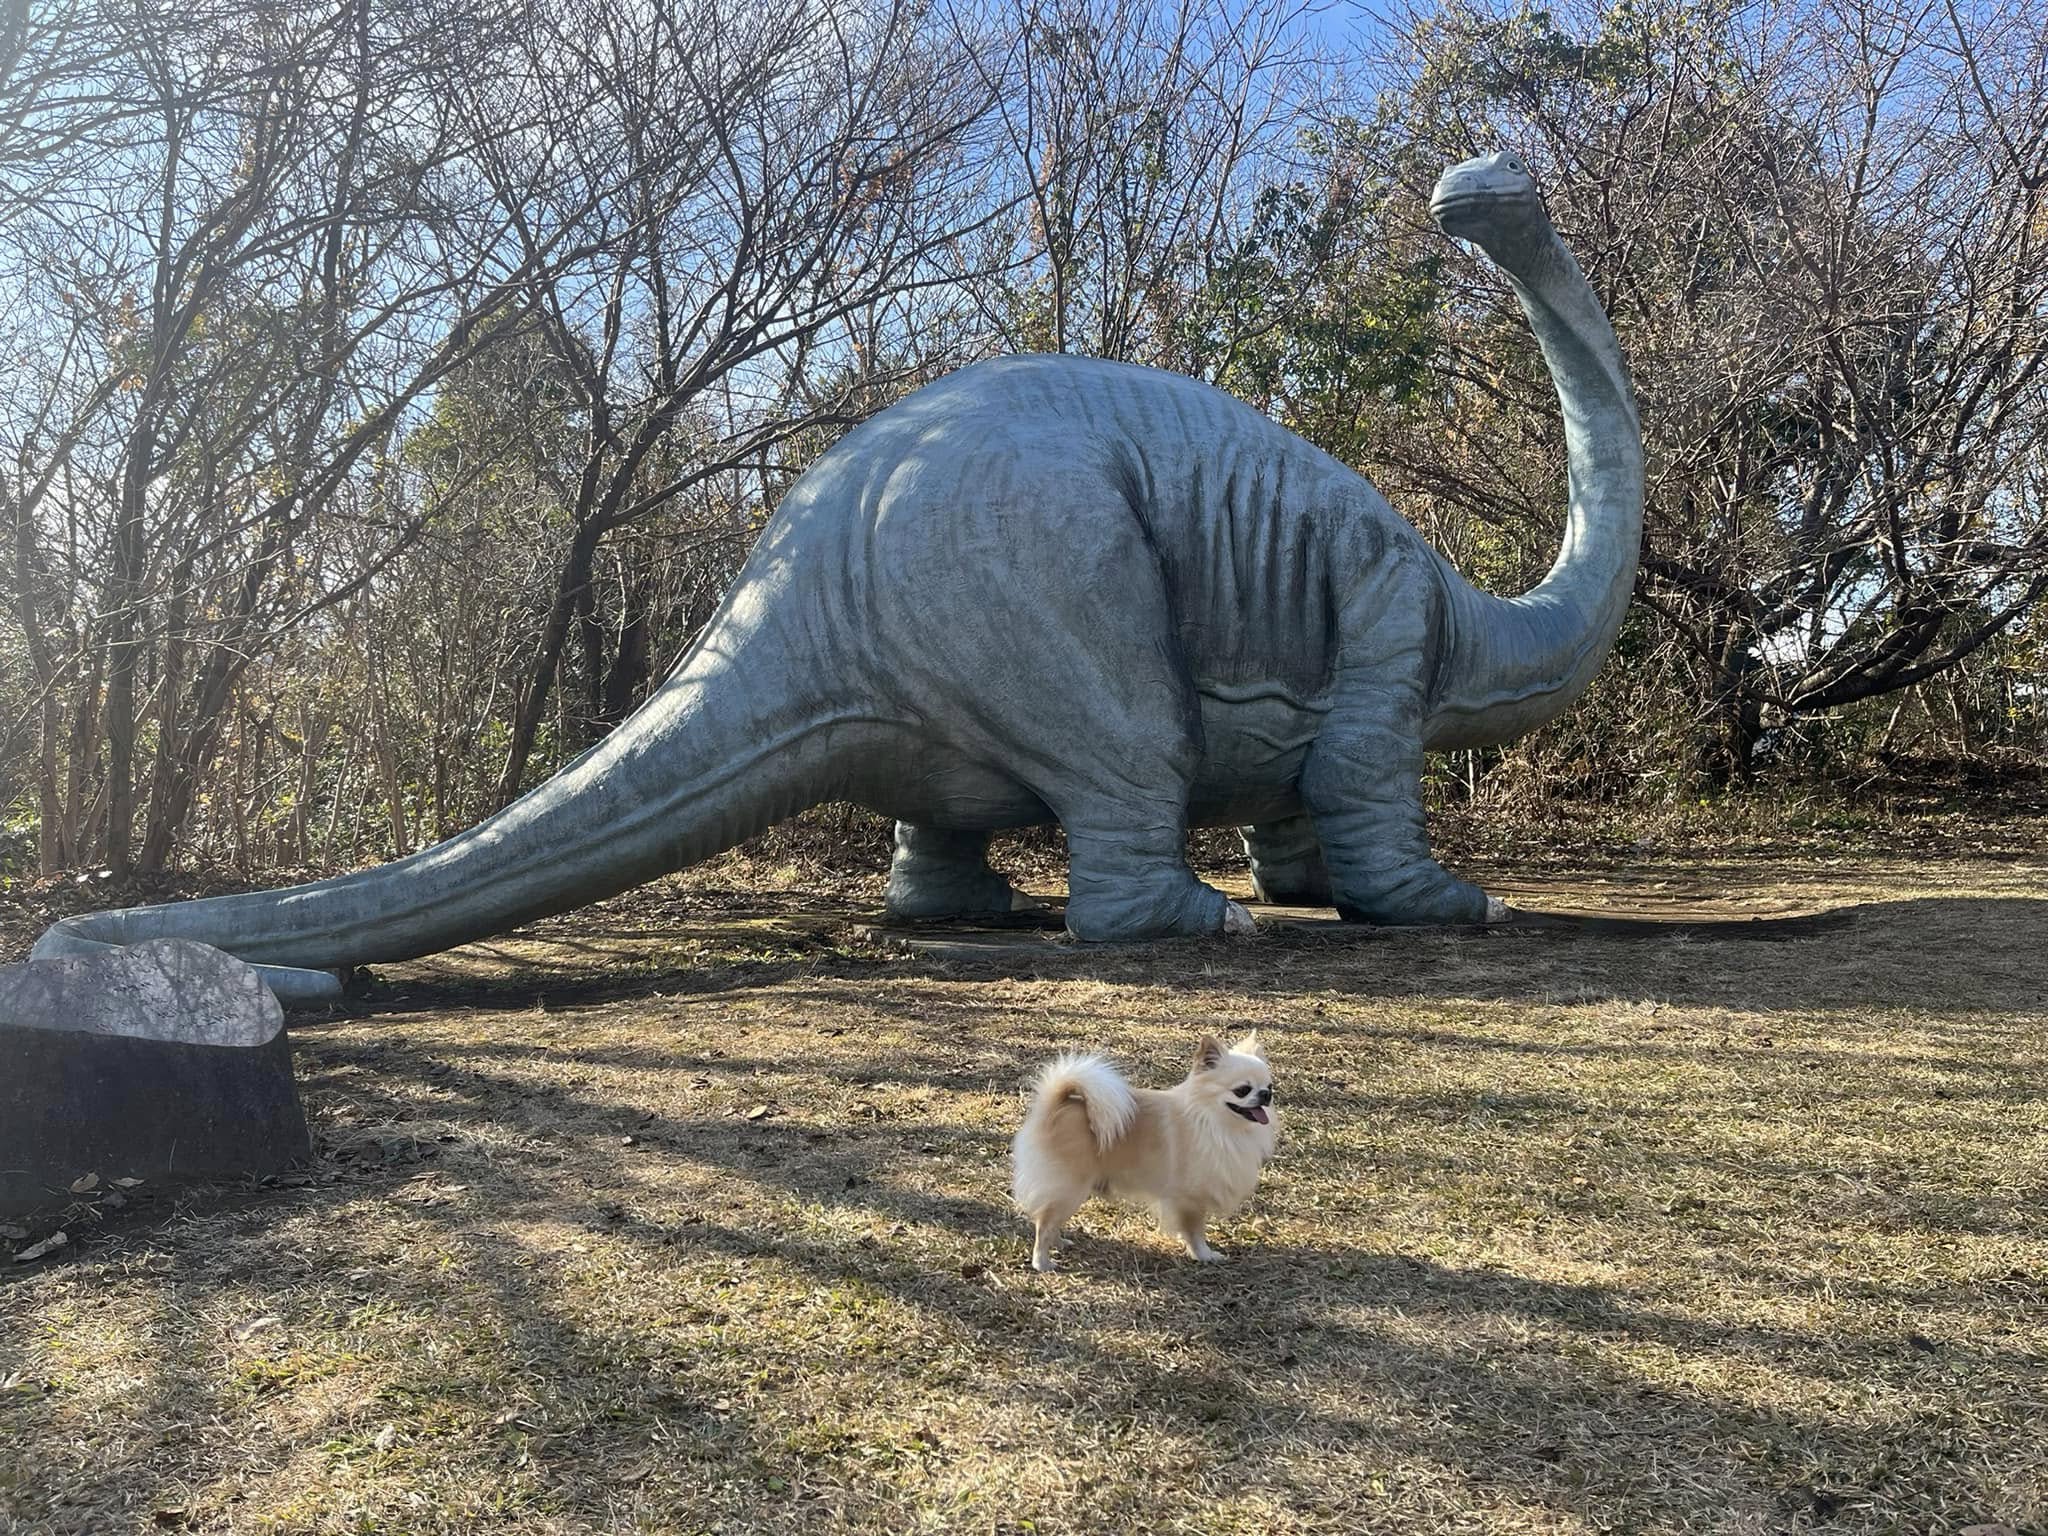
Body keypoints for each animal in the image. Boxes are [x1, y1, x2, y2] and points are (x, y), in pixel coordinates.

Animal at [1010, 1032, 1277, 1271]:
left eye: (1270, 1086)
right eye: (1242, 1090)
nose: (1265, 1094)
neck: (1214, 1120)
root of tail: (1053, 1105)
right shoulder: (1191, 1199)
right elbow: (1195, 1231)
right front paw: (1204, 1255)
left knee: (1049, 1220)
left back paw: (1060, 1242)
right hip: (1069, 1188)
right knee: (1044, 1223)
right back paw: (1042, 1262)